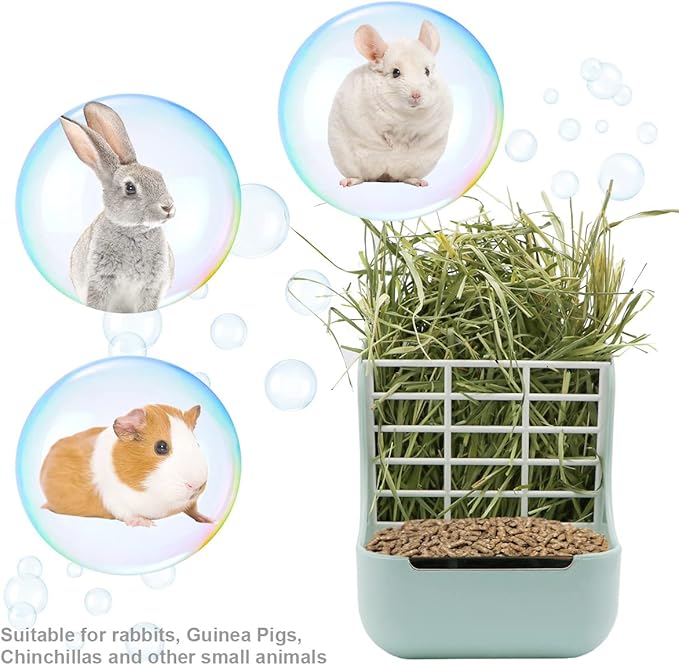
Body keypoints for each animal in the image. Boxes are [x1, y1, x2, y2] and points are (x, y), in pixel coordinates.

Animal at [40, 404, 212, 527]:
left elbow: (193, 509)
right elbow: (128, 514)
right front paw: (147, 523)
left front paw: (208, 520)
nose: (197, 485)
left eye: (197, 444)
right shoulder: (115, 500)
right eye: (161, 447)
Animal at [59, 102, 175, 313]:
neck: (134, 231)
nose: (168, 207)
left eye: (159, 176)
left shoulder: (152, 286)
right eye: (130, 188)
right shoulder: (100, 281)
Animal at [328, 20, 453, 188]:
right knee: (361, 176)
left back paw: (418, 181)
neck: (406, 114)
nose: (416, 95)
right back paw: (349, 181)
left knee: (405, 177)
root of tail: (385, 175)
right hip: (348, 161)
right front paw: (392, 144)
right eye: (395, 72)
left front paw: (406, 144)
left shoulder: (434, 119)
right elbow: (383, 132)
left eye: (427, 71)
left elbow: (419, 133)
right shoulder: (372, 117)